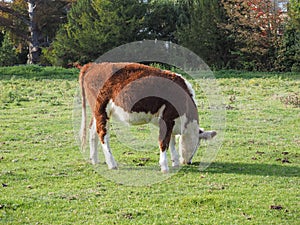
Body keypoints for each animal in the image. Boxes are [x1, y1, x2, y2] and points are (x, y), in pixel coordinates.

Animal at [79, 62, 216, 173]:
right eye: (197, 145)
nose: (189, 162)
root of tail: (92, 66)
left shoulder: (171, 122)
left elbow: (171, 141)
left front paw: (175, 162)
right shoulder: (167, 118)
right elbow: (164, 142)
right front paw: (164, 167)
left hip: (97, 112)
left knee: (93, 131)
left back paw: (94, 160)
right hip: (102, 110)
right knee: (103, 134)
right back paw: (112, 164)